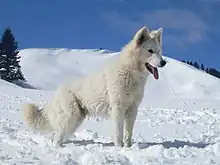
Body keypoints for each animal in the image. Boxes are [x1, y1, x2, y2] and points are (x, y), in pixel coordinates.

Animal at [22, 25, 167, 147]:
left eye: (159, 51)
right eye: (150, 51)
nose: (164, 62)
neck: (130, 73)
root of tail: (58, 90)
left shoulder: (132, 110)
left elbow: (128, 134)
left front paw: (128, 147)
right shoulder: (118, 109)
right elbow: (118, 133)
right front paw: (120, 148)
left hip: (75, 120)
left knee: (57, 134)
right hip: (71, 116)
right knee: (57, 137)